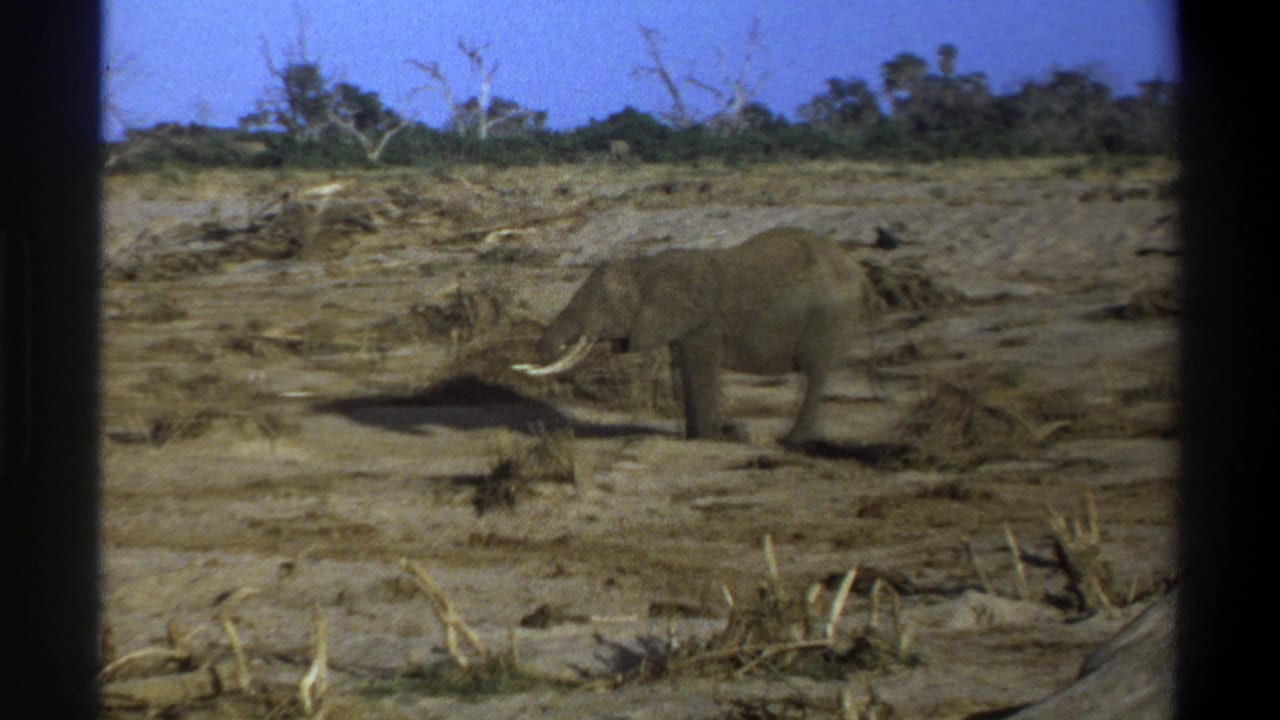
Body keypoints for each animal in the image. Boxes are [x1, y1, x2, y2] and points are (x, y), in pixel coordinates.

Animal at [514, 226, 872, 444]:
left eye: (603, 302)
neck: (647, 266)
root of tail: (856, 269)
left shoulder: (704, 323)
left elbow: (700, 371)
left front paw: (712, 439)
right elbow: (683, 372)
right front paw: (698, 437)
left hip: (830, 316)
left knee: (815, 372)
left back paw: (792, 441)